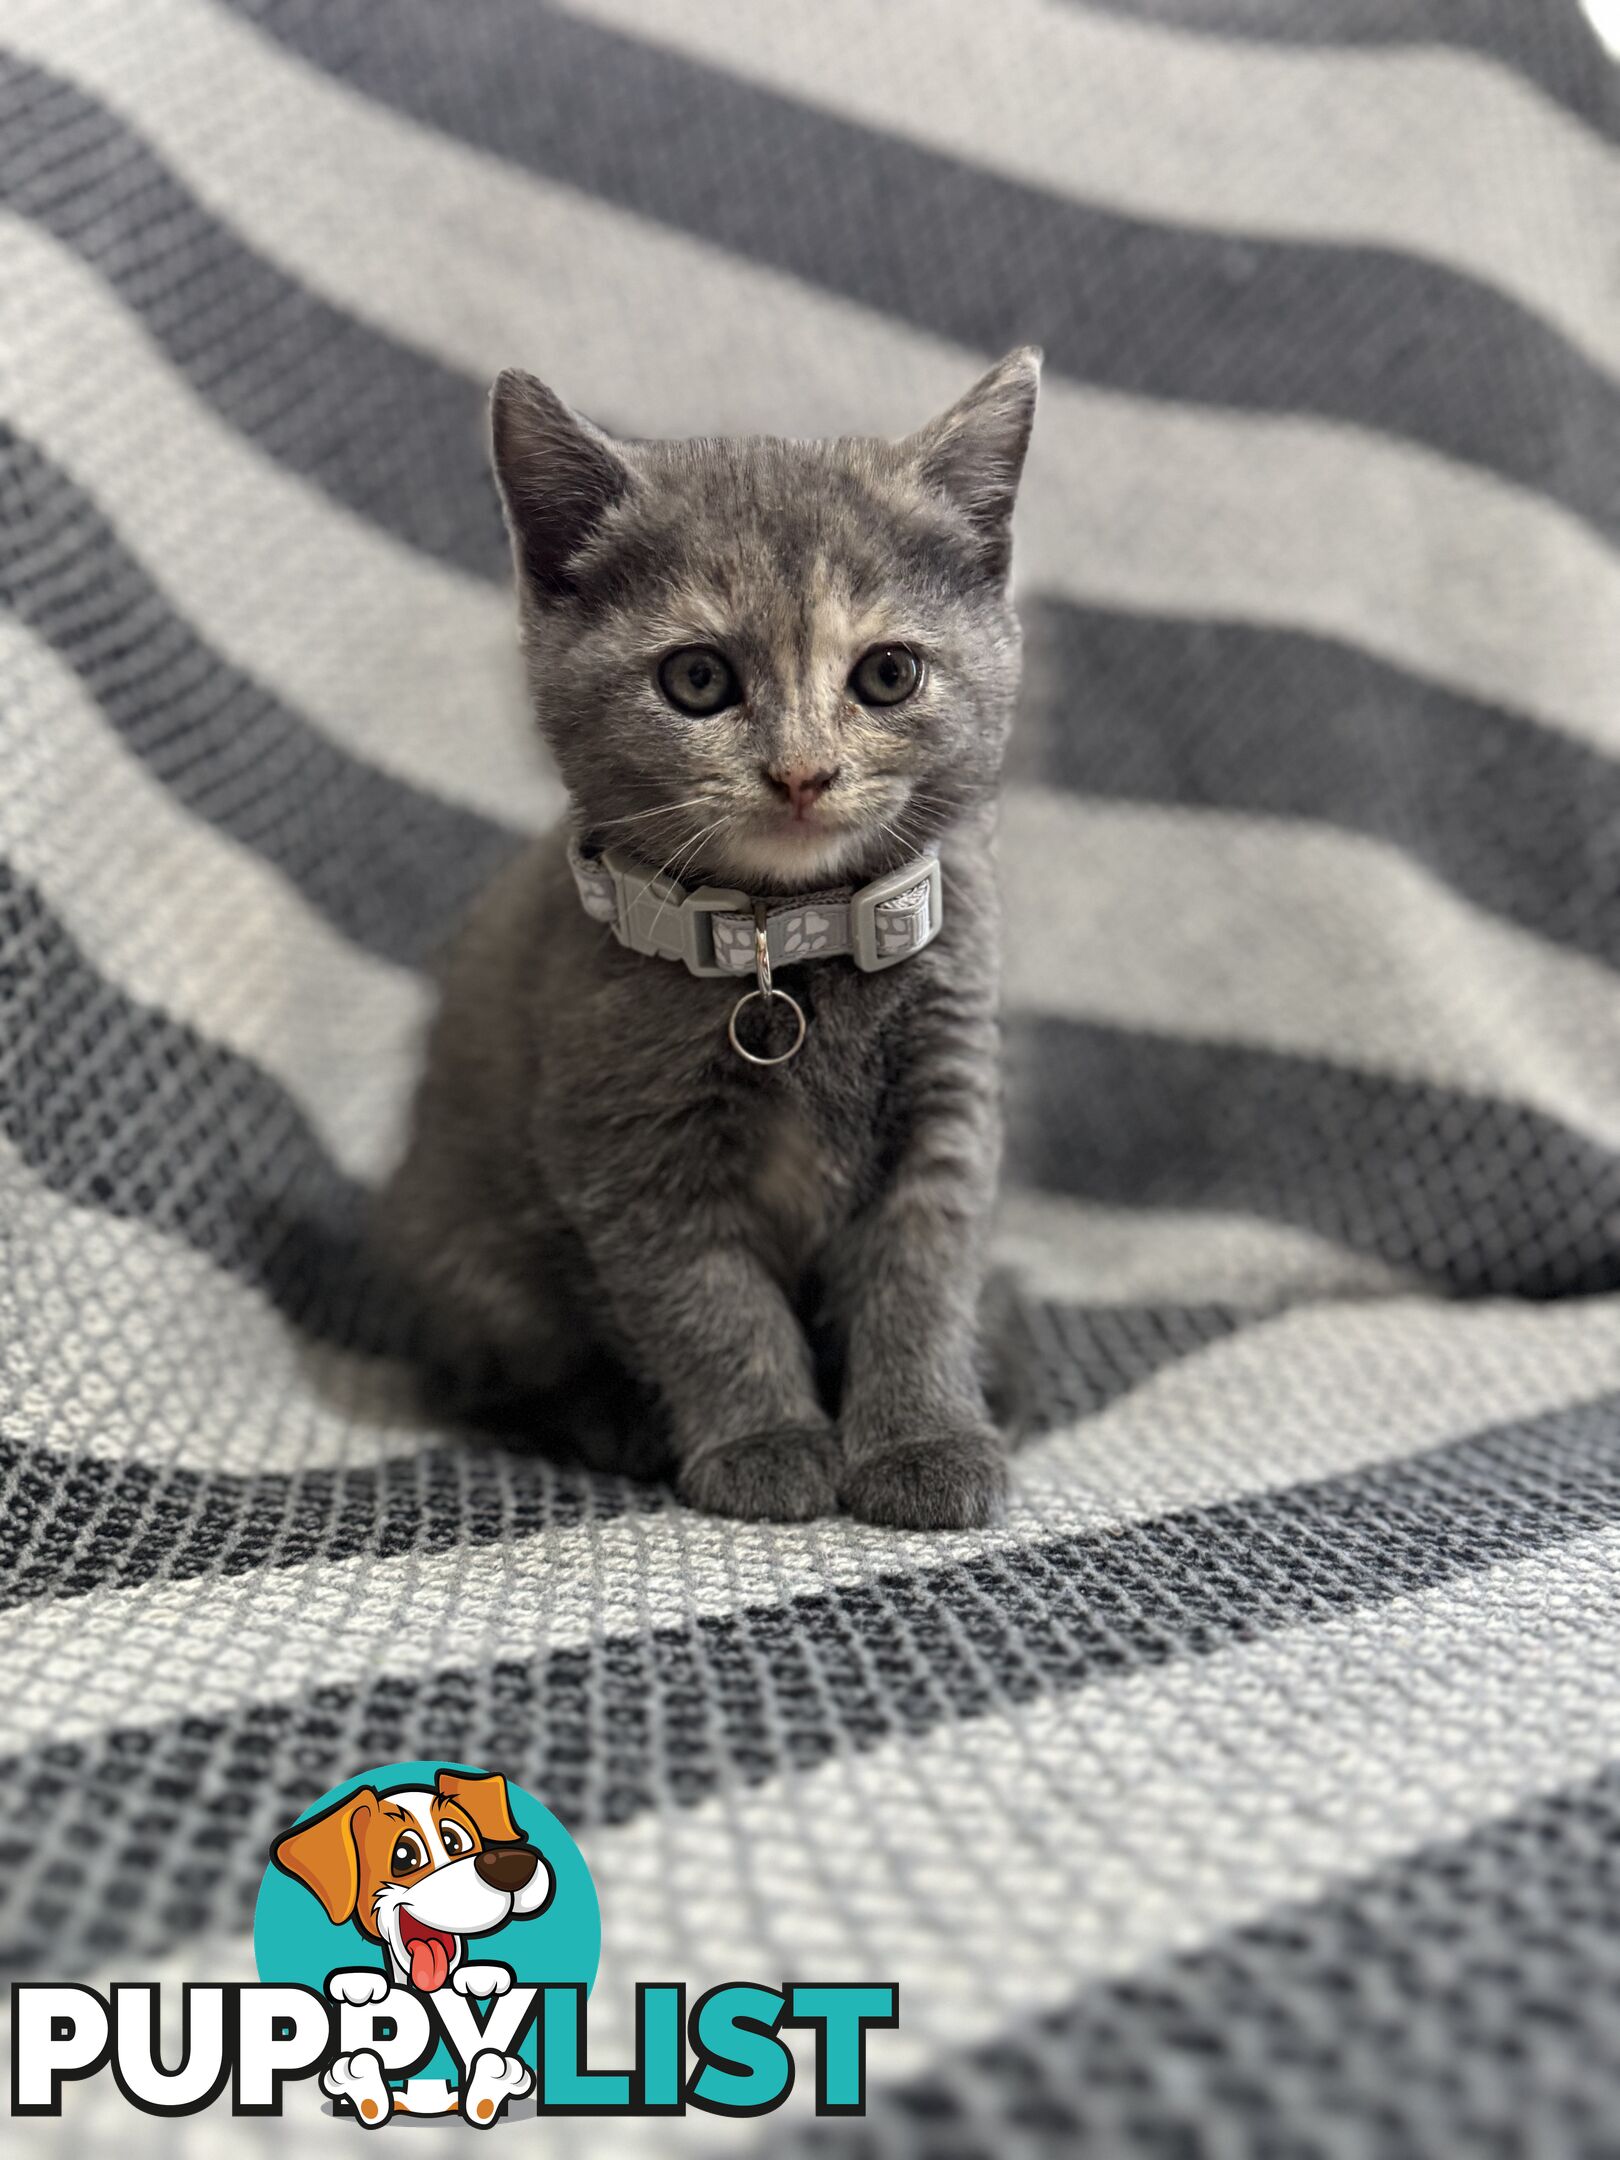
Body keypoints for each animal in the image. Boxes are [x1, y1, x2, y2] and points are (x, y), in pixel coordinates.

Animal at [380, 349, 1041, 1537]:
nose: (802, 771)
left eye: (887, 676)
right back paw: (617, 1421)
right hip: (464, 1253)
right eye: (697, 679)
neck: (790, 948)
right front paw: (764, 1446)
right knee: (498, 1369)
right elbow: (708, 1300)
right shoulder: (627, 1145)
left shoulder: (950, 1099)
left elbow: (923, 1275)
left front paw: (925, 1441)